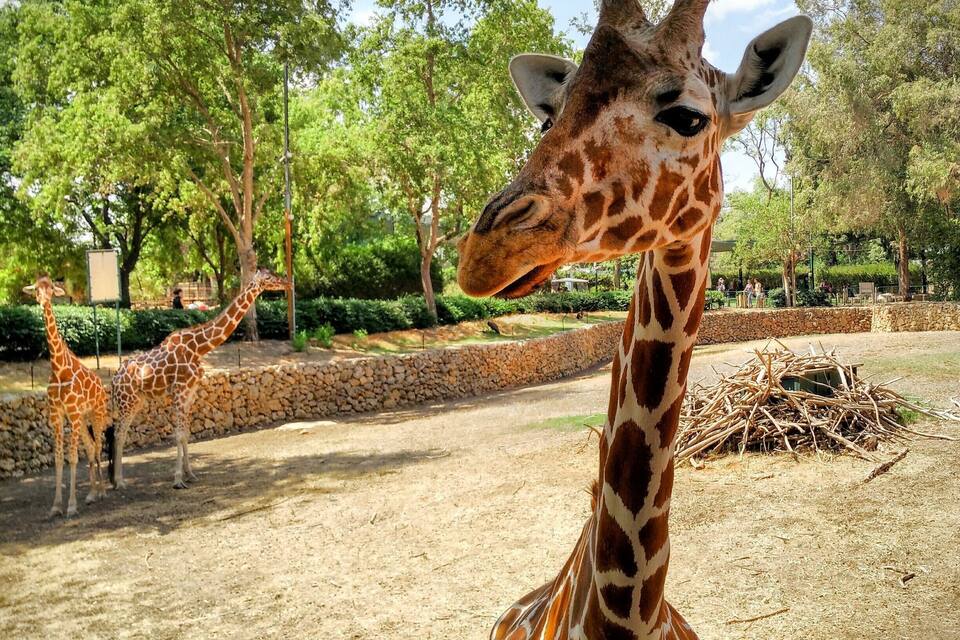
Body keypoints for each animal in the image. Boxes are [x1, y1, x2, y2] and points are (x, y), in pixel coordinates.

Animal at [23, 276, 110, 518]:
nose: (42, 301)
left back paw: (102, 492)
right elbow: (59, 459)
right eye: (36, 289)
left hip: (96, 414)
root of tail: (102, 384)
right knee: (90, 447)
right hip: (82, 419)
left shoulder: (73, 412)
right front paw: (56, 506)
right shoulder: (58, 415)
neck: (59, 368)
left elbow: (72, 457)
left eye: (52, 289)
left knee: (98, 447)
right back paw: (91, 494)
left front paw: (71, 505)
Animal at [111, 269, 288, 489]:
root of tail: (114, 379)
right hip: (127, 401)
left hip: (137, 401)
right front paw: (178, 480)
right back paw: (119, 482)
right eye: (269, 277)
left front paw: (190, 474)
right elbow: (178, 435)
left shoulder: (190, 392)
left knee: (120, 433)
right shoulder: (179, 391)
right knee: (119, 434)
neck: (199, 348)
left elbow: (186, 434)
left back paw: (116, 481)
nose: (287, 282)